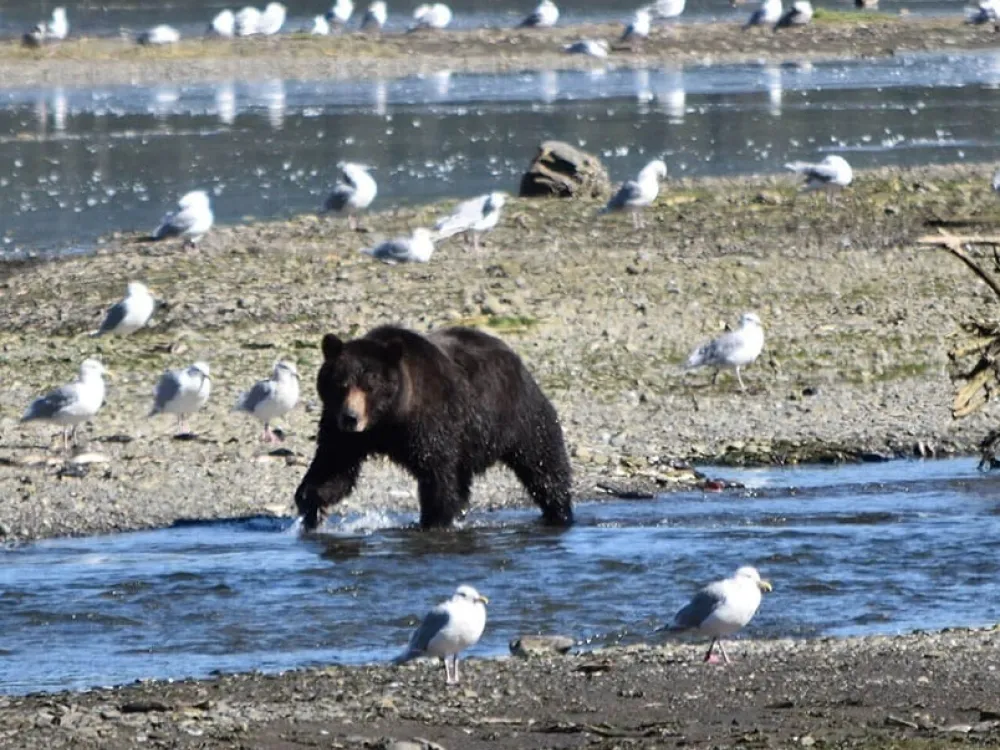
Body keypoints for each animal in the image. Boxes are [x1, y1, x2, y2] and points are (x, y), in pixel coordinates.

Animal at [294, 324, 574, 531]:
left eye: (369, 386)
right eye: (341, 384)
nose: (350, 418)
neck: (388, 419)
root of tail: (513, 356)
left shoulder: (431, 421)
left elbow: (436, 472)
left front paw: (433, 520)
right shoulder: (345, 432)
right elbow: (334, 466)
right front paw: (312, 503)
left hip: (516, 414)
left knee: (543, 462)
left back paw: (559, 512)